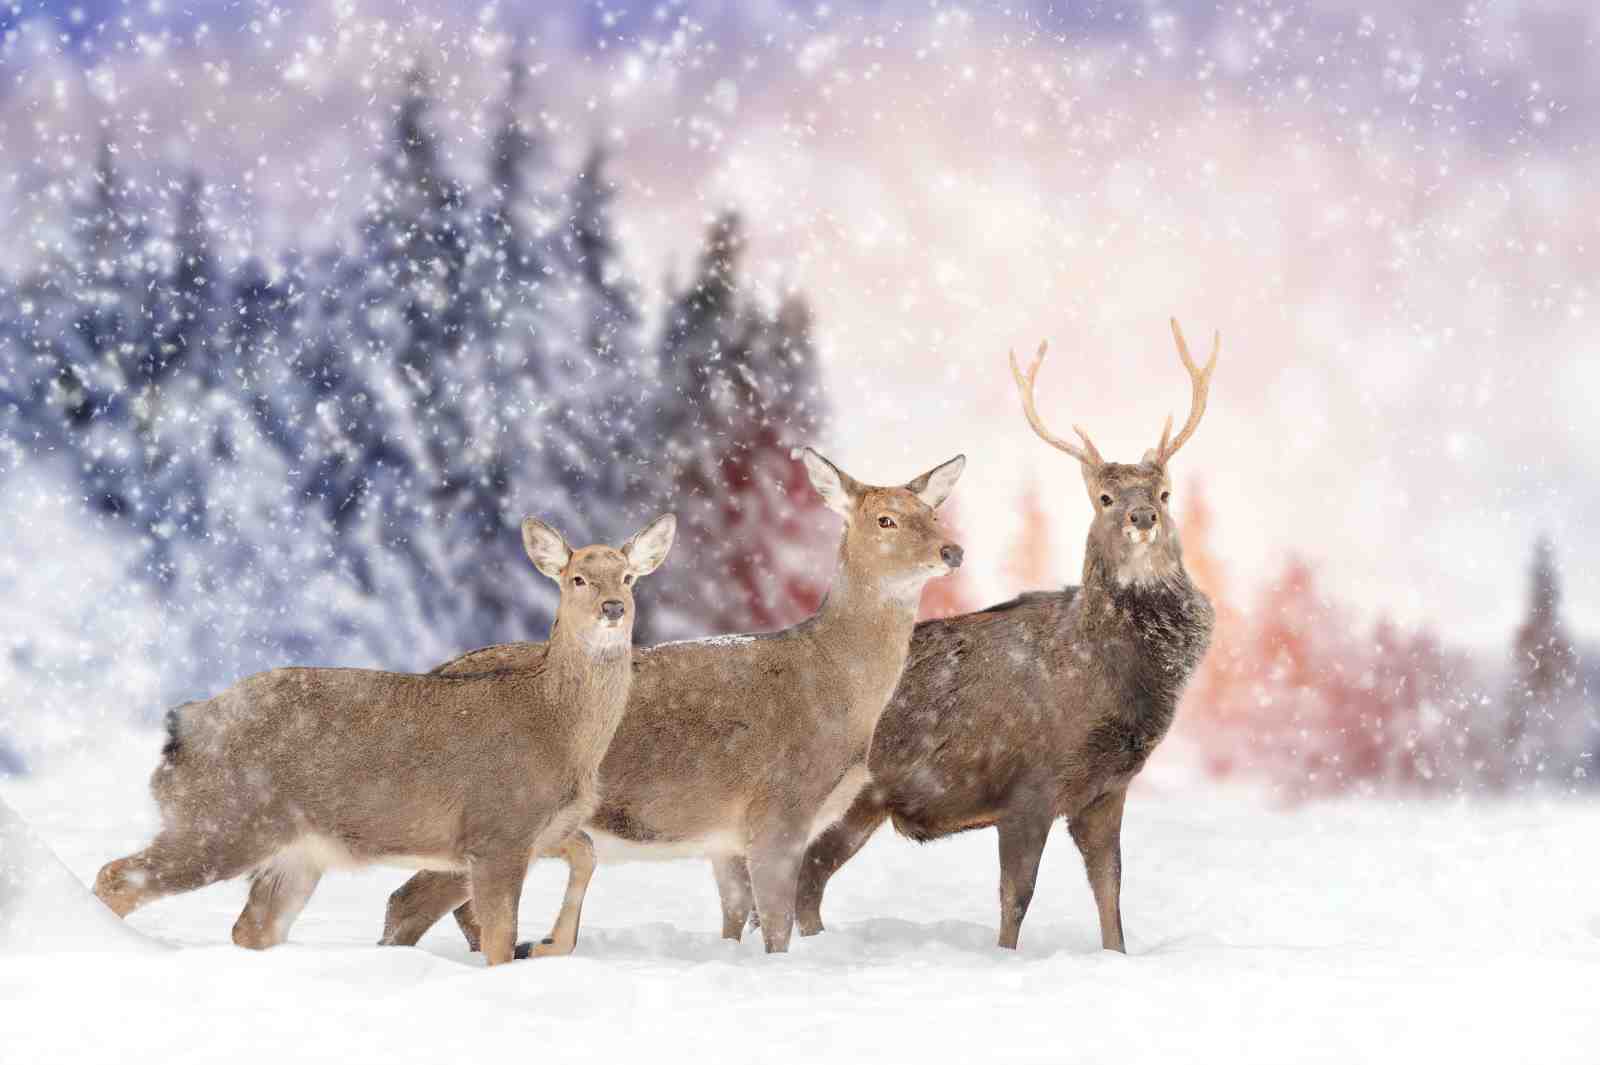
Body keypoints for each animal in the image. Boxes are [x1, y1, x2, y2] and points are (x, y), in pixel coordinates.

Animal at [93, 513, 677, 967]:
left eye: (627, 577)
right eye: (577, 578)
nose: (612, 607)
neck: (560, 731)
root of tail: (182, 729)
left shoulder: (542, 830)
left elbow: (586, 854)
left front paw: (552, 944)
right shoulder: (498, 829)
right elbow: (498, 937)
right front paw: (529, 952)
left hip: (294, 851)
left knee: (251, 929)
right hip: (222, 821)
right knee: (117, 877)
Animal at [378, 447, 966, 955]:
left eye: (933, 511)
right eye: (886, 519)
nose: (952, 551)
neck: (836, 686)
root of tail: (436, 670)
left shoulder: (724, 837)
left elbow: (735, 920)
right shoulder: (780, 804)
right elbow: (777, 928)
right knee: (407, 902)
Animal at [774, 320, 1218, 952]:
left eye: (1164, 494)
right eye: (1104, 498)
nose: (1142, 518)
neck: (1106, 676)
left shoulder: (1106, 791)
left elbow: (1110, 892)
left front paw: (1116, 954)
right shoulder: (1028, 784)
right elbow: (1016, 898)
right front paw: (1005, 957)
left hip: (863, 804)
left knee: (811, 874)